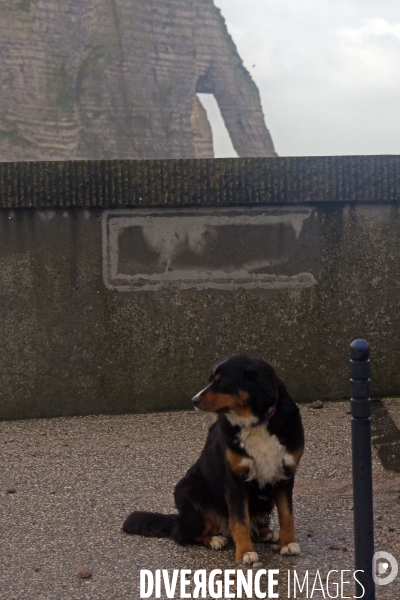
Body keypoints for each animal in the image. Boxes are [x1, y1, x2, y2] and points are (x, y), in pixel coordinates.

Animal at [123, 354, 304, 564]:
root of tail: (179, 517)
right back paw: (214, 539)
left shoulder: (285, 474)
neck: (256, 424)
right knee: (180, 533)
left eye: (222, 381)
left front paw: (288, 543)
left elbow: (286, 515)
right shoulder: (236, 480)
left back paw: (266, 533)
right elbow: (240, 521)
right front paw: (245, 553)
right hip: (190, 490)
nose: (194, 400)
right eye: (210, 380)